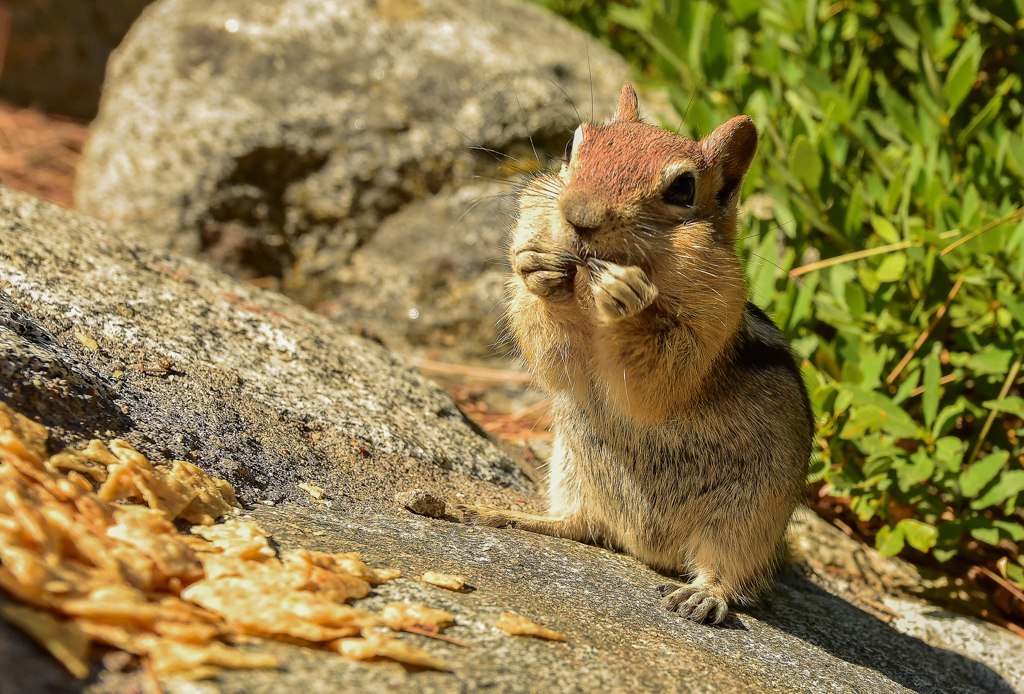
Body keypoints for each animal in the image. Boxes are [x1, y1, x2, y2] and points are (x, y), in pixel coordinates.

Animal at [460, 85, 811, 626]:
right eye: (571, 147)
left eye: (683, 189)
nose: (578, 216)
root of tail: (648, 551)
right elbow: (554, 357)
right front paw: (538, 267)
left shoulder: (710, 322)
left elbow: (655, 381)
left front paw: (625, 301)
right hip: (573, 473)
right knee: (580, 527)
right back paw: (503, 515)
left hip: (747, 519)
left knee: (727, 572)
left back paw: (703, 595)